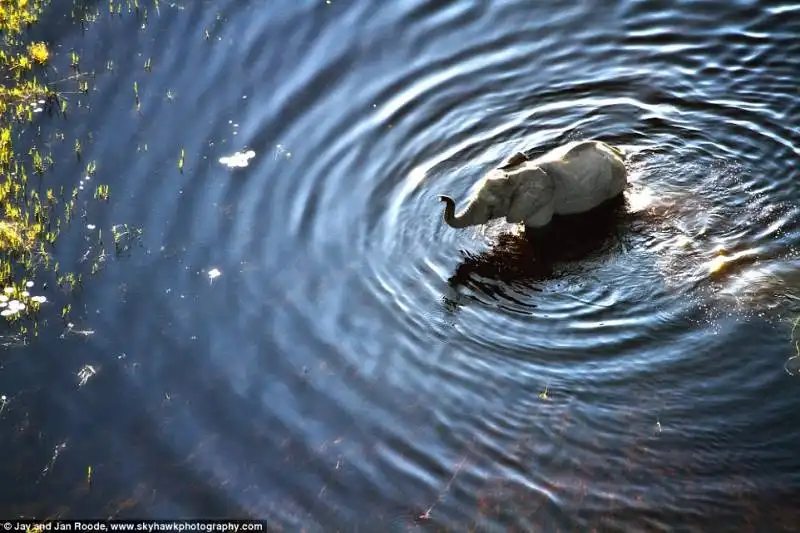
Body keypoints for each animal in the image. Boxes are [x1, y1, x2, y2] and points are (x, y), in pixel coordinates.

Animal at [438, 139, 632, 229]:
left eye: (491, 208)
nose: (441, 198)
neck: (514, 175)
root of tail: (614, 150)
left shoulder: (542, 204)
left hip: (614, 181)